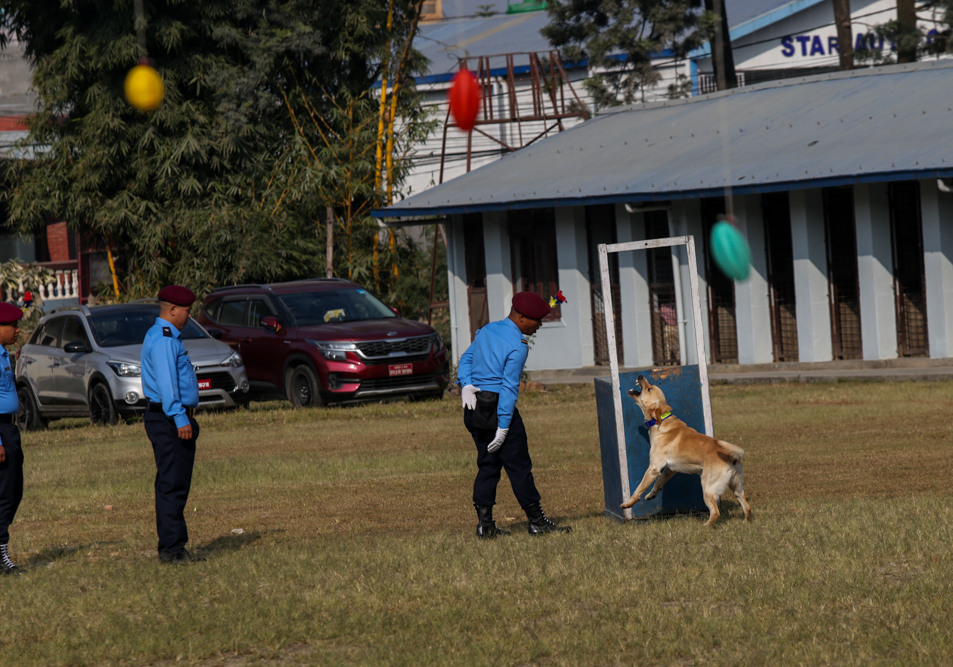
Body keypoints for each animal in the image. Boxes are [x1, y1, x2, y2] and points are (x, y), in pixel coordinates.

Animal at [616, 376, 752, 528]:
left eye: (649, 388)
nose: (640, 376)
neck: (661, 421)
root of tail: (731, 457)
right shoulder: (670, 469)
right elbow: (659, 482)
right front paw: (651, 495)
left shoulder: (653, 469)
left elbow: (639, 489)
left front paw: (627, 503)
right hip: (737, 488)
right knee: (747, 507)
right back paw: (746, 523)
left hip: (708, 488)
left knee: (716, 512)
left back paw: (705, 526)